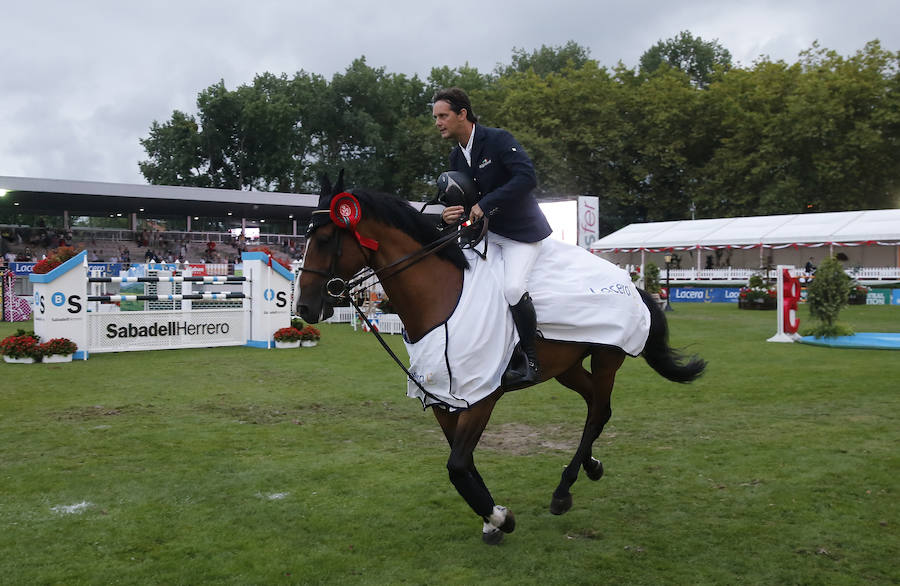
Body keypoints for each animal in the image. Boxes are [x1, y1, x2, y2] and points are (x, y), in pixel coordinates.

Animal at [298, 175, 708, 544]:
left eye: (324, 239)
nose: (304, 307)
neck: (441, 296)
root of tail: (631, 284)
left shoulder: (482, 395)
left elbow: (457, 466)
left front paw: (499, 518)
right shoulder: (443, 397)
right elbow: (462, 462)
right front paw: (491, 518)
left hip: (608, 357)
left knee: (598, 412)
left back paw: (563, 491)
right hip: (567, 367)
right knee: (596, 404)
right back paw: (589, 467)